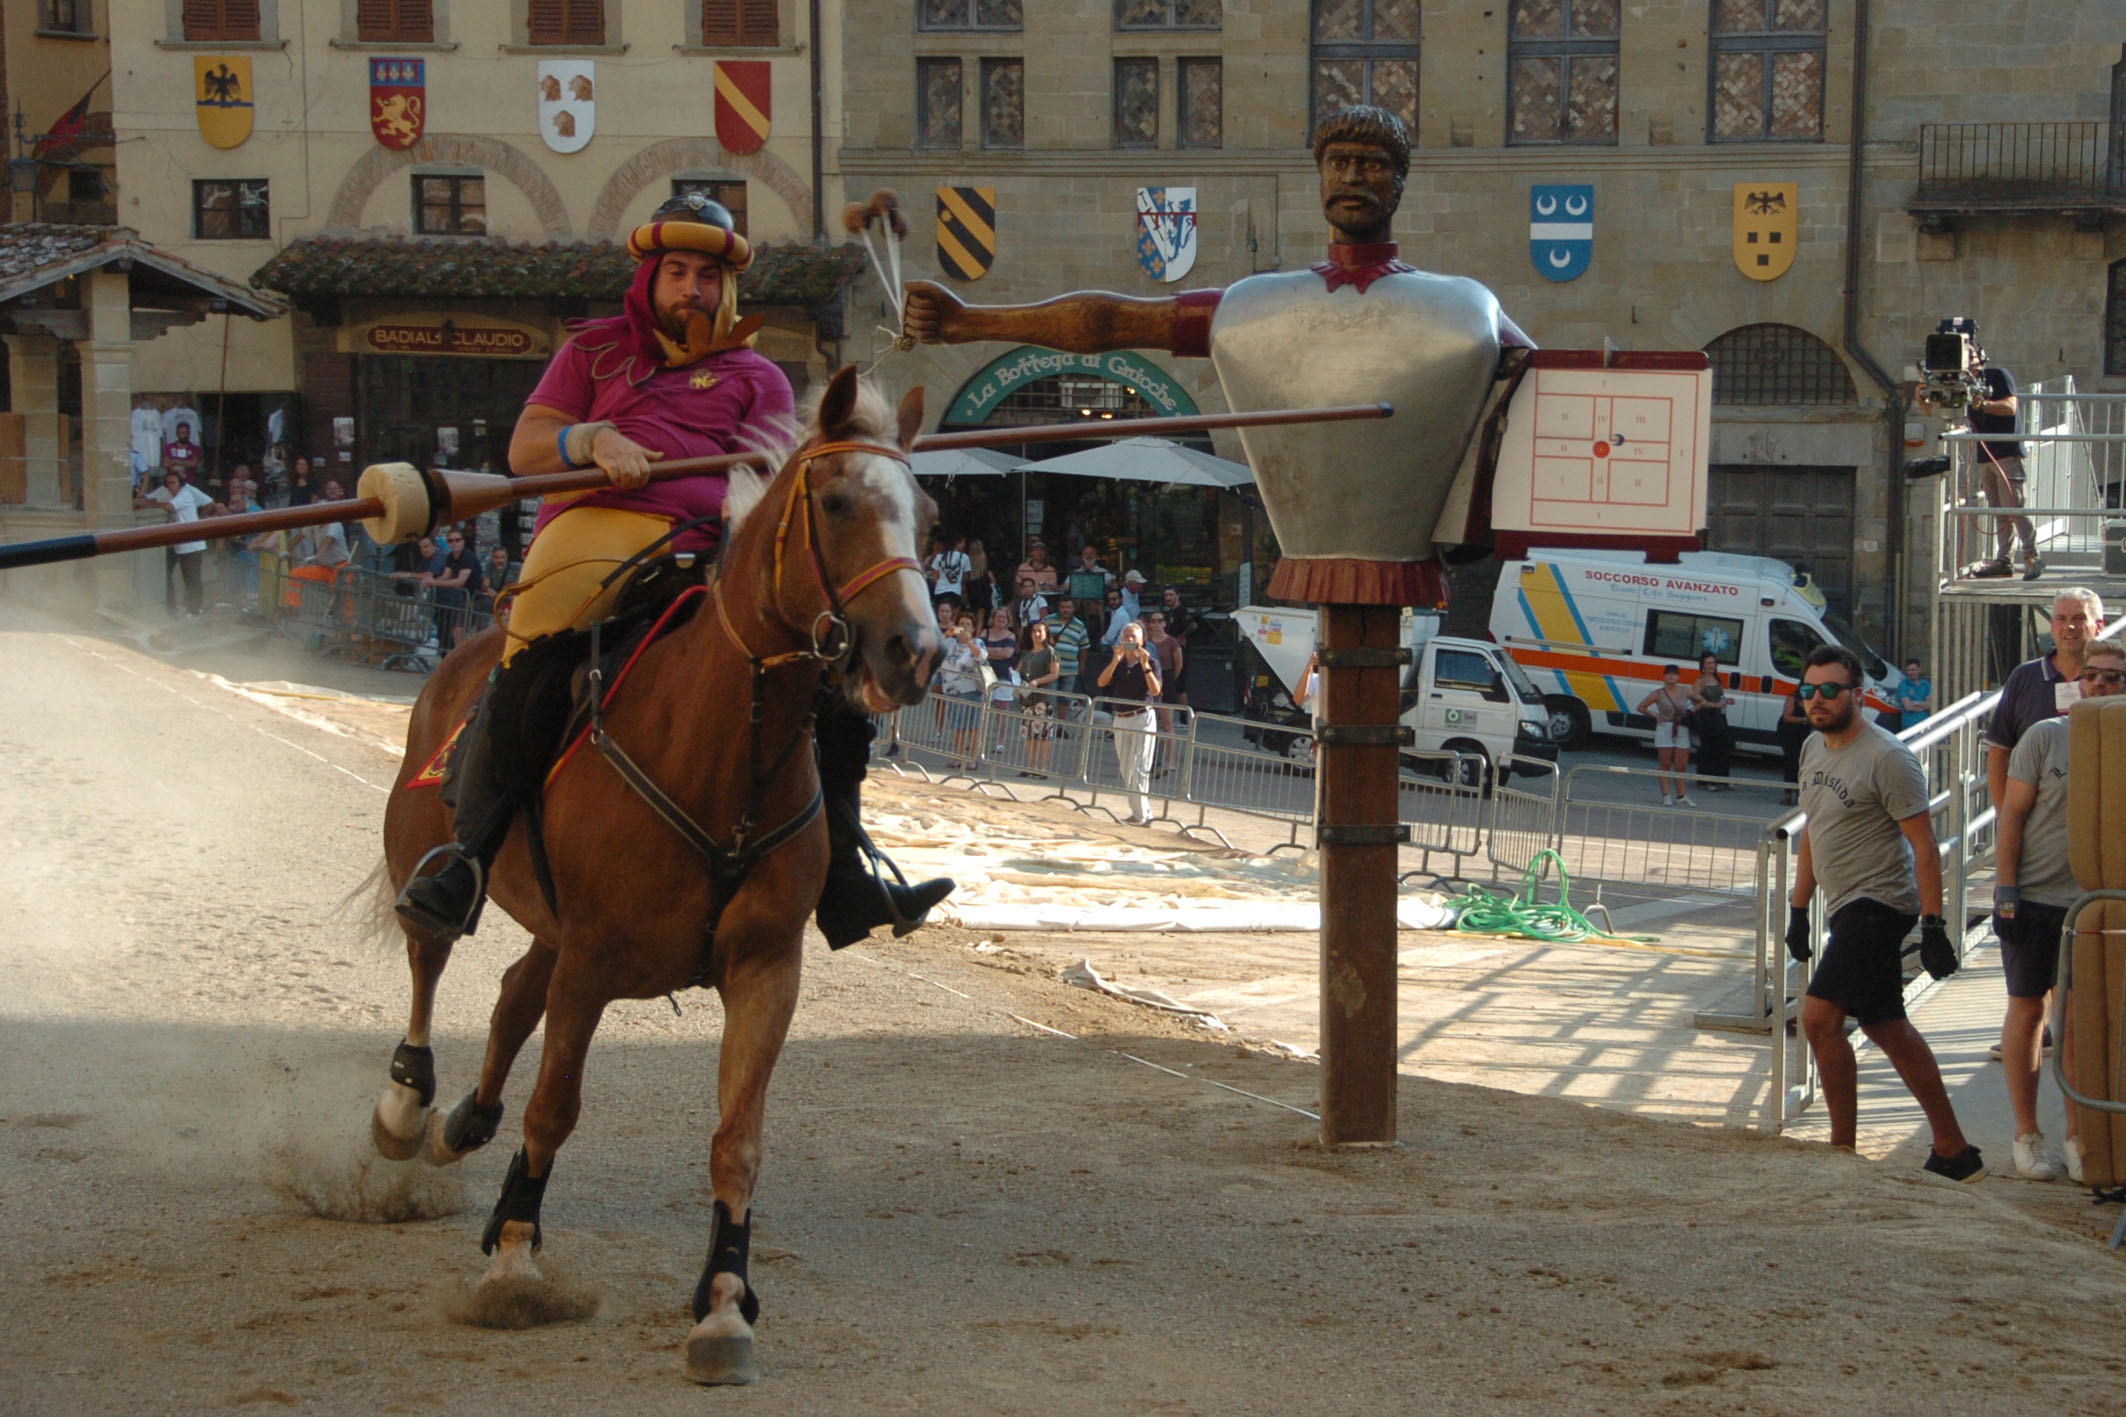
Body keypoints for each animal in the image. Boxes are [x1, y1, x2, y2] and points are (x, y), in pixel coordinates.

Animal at [372, 369, 939, 1385]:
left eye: (931, 516)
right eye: (836, 502)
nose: (914, 651)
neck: (722, 749)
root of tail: (461, 656)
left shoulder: (765, 970)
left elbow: (737, 1141)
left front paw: (721, 1304)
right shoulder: (594, 960)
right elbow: (554, 1109)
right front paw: (513, 1259)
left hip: (555, 929)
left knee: (513, 993)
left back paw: (465, 1122)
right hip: (427, 857)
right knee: (430, 957)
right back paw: (408, 1104)